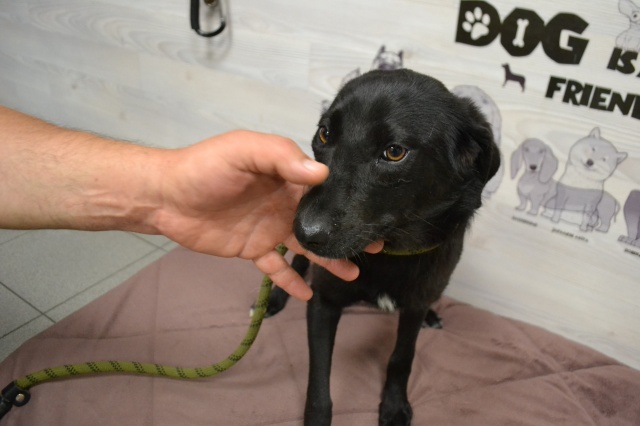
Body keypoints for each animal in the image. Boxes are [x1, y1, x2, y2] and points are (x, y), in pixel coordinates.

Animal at [264, 69, 500, 425]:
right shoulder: (323, 301)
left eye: (394, 152)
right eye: (325, 134)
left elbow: (402, 357)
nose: (305, 232)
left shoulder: (414, 306)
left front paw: (394, 406)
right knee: (296, 265)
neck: (391, 252)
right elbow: (319, 384)